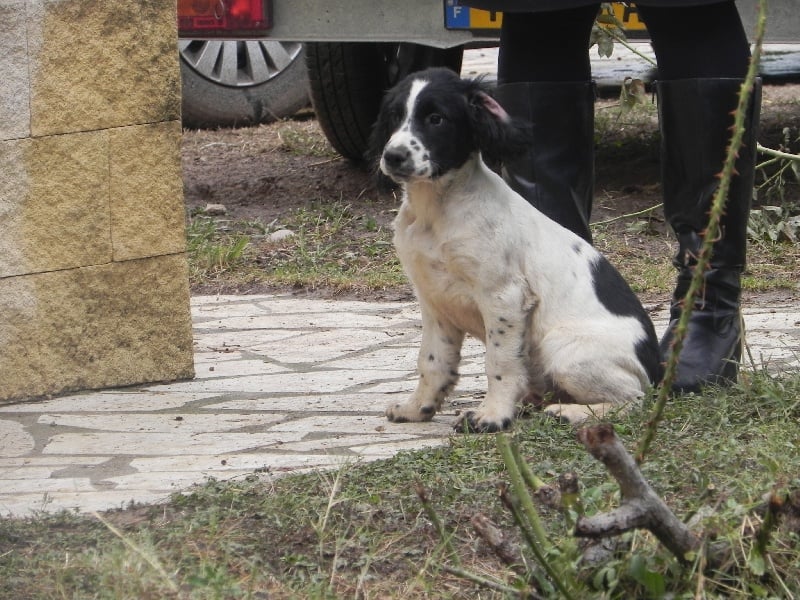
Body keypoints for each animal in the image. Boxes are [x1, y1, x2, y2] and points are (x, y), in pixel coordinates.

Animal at [369, 67, 662, 432]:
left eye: (436, 119)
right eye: (394, 116)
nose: (393, 157)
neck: (437, 210)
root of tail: (657, 367)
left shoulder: (503, 296)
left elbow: (500, 361)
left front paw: (493, 415)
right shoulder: (434, 300)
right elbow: (432, 360)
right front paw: (418, 407)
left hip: (562, 347)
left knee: (636, 399)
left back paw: (568, 412)